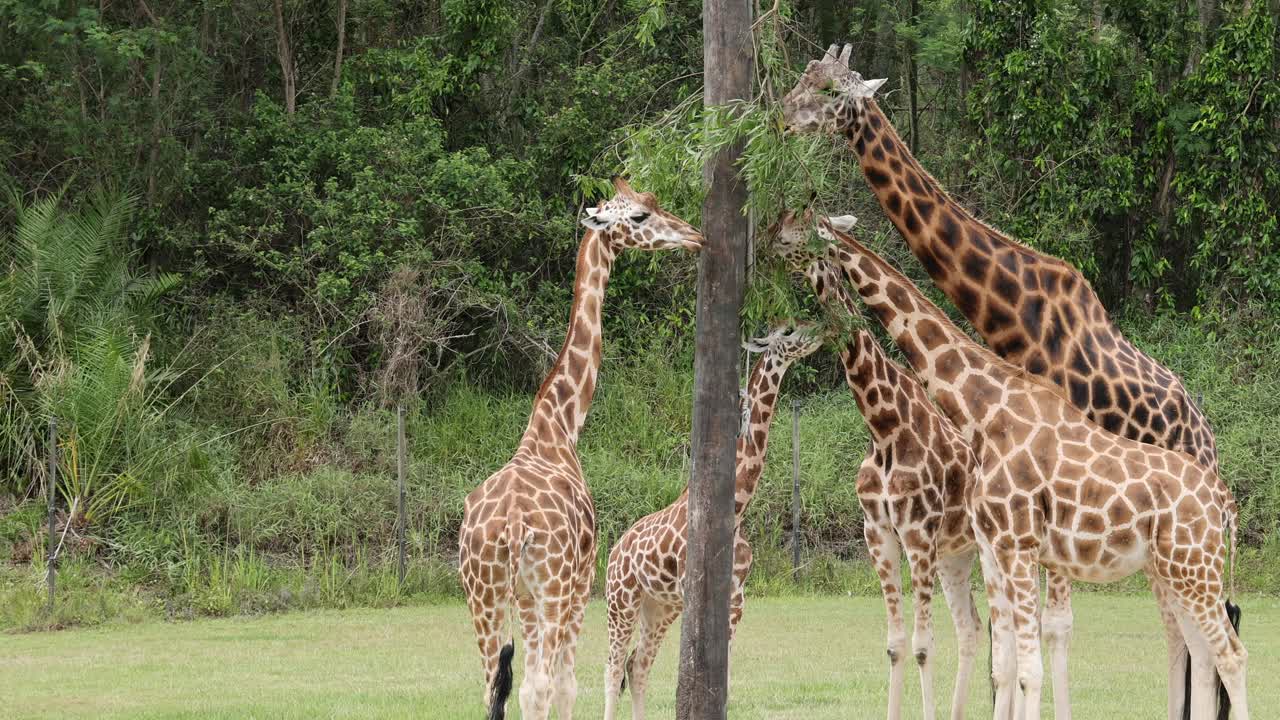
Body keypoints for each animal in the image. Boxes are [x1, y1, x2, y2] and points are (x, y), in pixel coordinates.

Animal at [458, 175, 706, 717]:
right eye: (640, 214)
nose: (695, 235)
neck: (557, 428)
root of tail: (512, 524)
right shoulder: (580, 583)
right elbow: (566, 684)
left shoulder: (526, 595)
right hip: (551, 590)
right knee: (539, 684)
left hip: (482, 592)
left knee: (492, 688)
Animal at [599, 324, 819, 717]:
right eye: (788, 331)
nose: (819, 333)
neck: (738, 509)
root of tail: (613, 551)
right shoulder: (696, 590)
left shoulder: (736, 599)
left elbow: (724, 675)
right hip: (621, 598)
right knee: (612, 666)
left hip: (659, 606)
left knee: (637, 665)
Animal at [768, 204, 1080, 712]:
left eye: (806, 225)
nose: (771, 239)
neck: (884, 426)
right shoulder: (878, 532)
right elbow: (896, 644)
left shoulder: (918, 533)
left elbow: (922, 646)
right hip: (964, 555)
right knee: (980, 630)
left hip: (1032, 549)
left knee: (1049, 627)